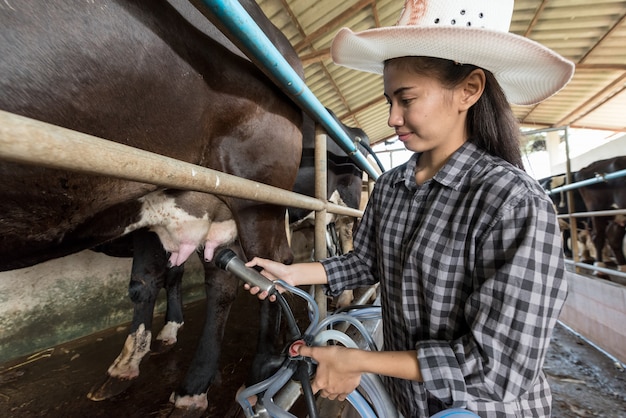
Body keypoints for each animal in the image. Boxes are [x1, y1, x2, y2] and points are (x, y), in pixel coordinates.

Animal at [0, 0, 302, 414]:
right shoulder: (146, 212)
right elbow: (144, 283)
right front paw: (129, 362)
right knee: (225, 275)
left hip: (258, 197)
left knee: (270, 271)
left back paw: (251, 374)